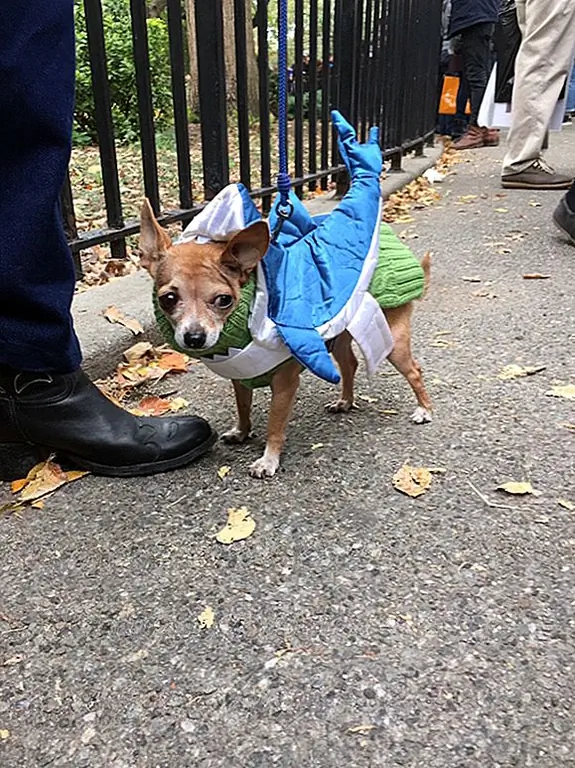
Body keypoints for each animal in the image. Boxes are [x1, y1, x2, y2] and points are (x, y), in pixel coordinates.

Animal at [141, 196, 432, 480]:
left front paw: (269, 460)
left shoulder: (284, 384)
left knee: (414, 371)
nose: (194, 337)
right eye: (168, 299)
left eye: (223, 300)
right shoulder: (240, 378)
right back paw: (345, 402)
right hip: (339, 338)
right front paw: (242, 432)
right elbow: (243, 407)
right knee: (350, 364)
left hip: (393, 341)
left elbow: (275, 425)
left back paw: (424, 410)